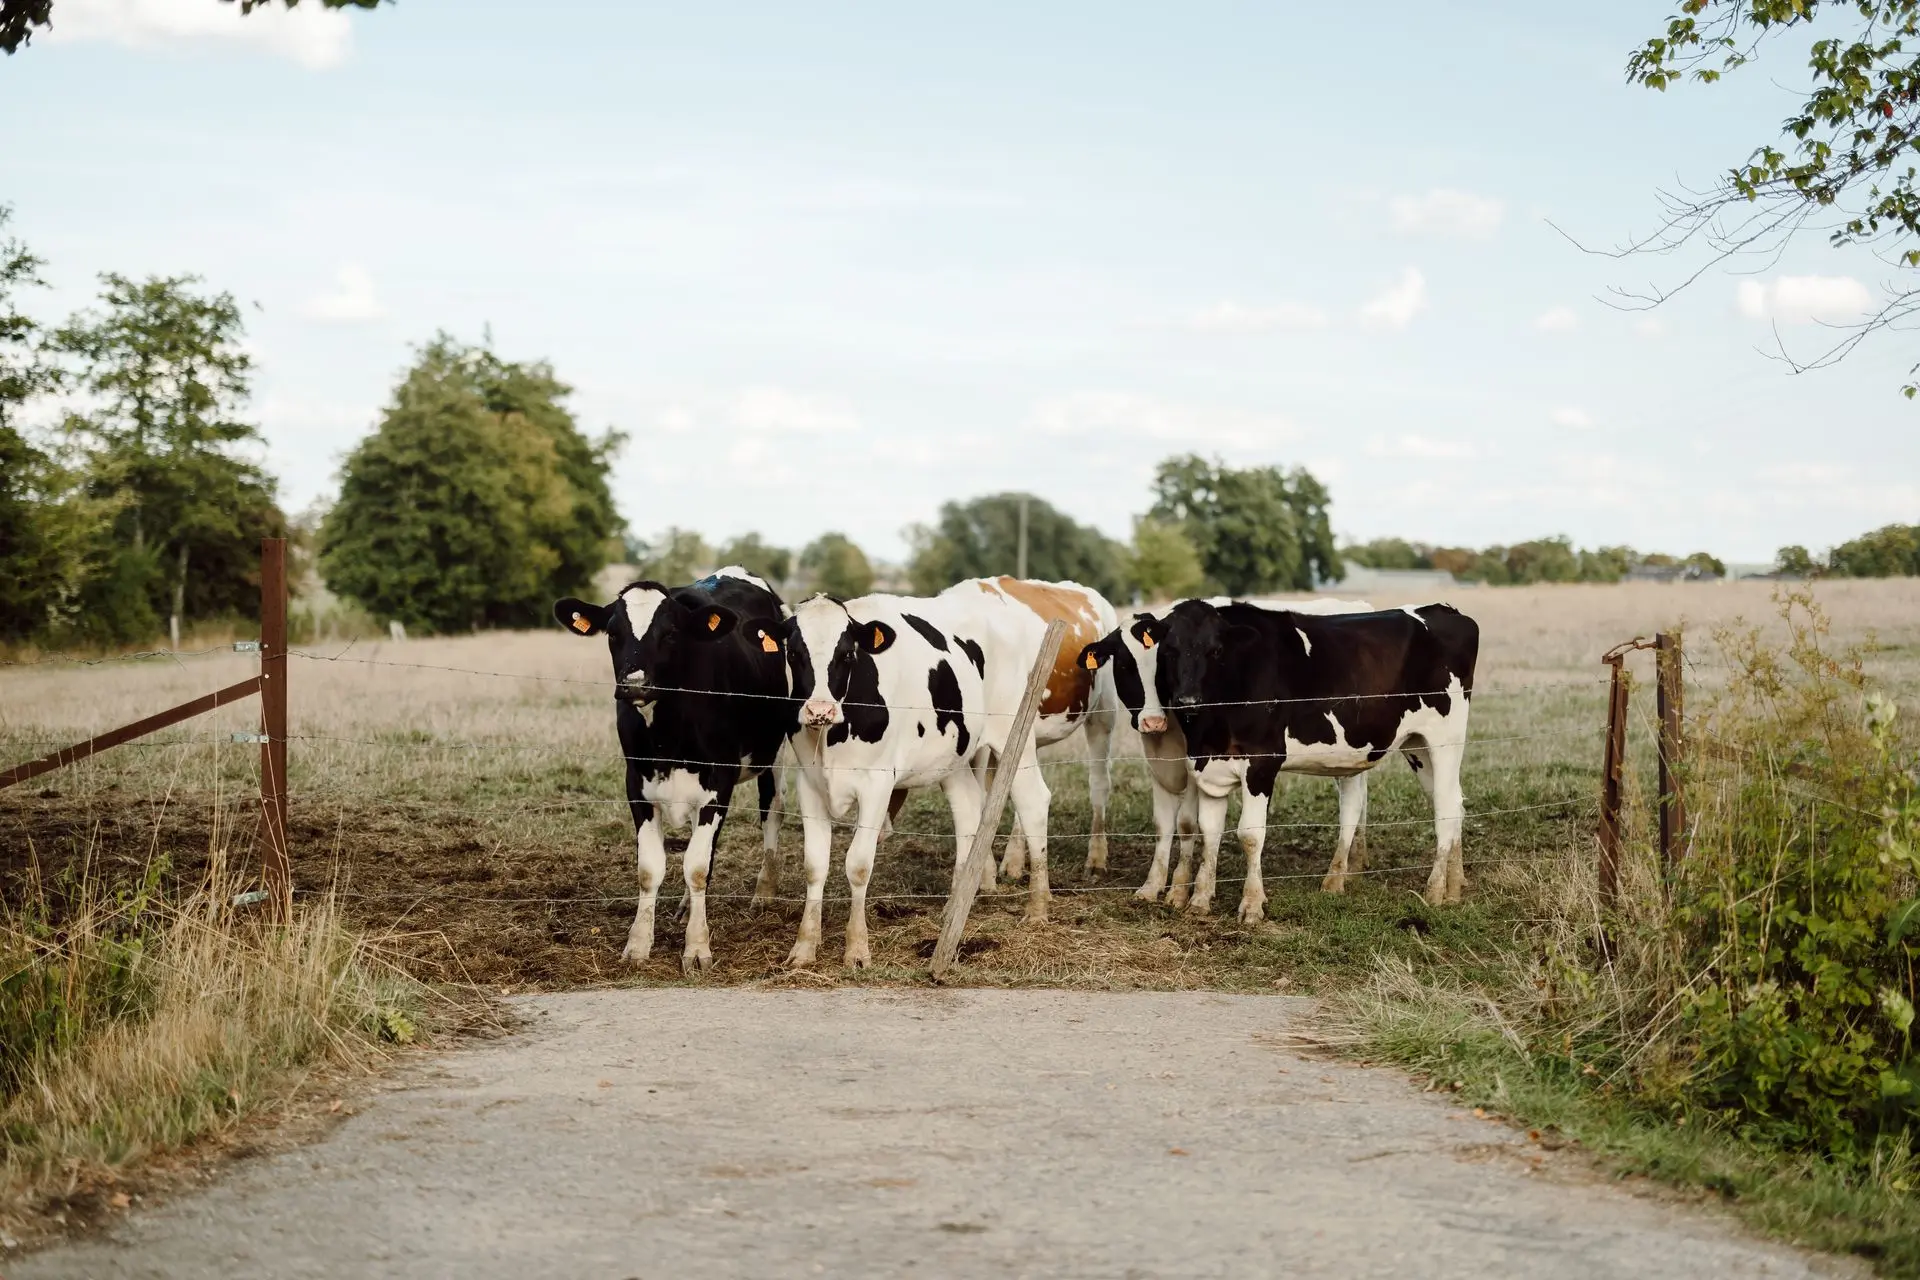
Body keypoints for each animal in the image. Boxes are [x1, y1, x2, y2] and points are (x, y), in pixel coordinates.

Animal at [552, 567, 792, 974]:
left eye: (670, 632)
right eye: (612, 633)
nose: (634, 685)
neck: (667, 736)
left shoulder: (719, 781)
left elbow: (696, 865)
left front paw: (696, 947)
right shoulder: (636, 783)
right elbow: (652, 868)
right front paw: (638, 944)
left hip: (775, 752)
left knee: (771, 812)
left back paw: (764, 893)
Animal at [1077, 597, 1372, 916]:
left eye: (1161, 664)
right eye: (1124, 664)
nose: (1153, 721)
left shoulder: (1197, 767)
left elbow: (1187, 825)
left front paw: (1179, 890)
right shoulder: (1162, 764)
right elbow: (1164, 825)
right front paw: (1152, 886)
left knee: (1352, 803)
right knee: (1358, 797)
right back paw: (1355, 864)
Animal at [1141, 600, 1479, 910]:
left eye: (1215, 651)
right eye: (1169, 650)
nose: (1187, 700)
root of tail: (1440, 609)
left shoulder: (1262, 763)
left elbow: (1250, 834)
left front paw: (1252, 903)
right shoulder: (1209, 766)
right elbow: (1209, 831)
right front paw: (1199, 901)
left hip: (1445, 740)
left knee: (1446, 808)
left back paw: (1435, 891)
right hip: (1417, 745)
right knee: (1454, 801)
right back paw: (1454, 885)